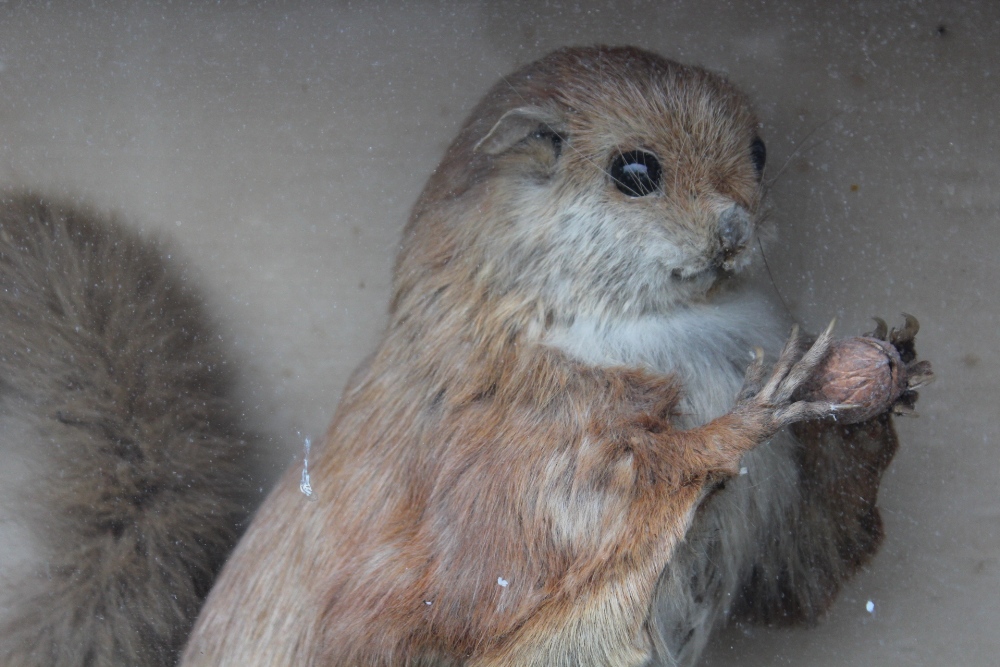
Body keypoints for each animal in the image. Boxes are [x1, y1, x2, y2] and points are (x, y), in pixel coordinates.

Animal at [0, 47, 928, 667]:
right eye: (634, 170)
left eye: (760, 151)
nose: (736, 230)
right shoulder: (511, 467)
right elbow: (594, 511)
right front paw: (750, 414)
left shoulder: (778, 548)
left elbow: (805, 570)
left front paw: (886, 377)